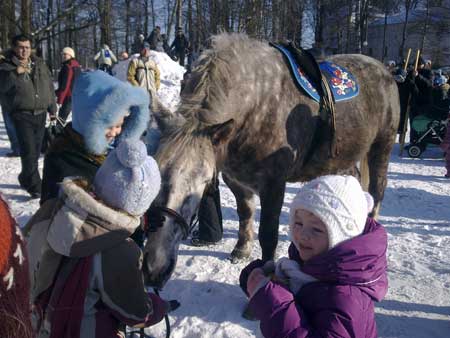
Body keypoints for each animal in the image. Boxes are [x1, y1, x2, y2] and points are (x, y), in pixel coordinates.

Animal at [142, 33, 400, 288]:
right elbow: (245, 213)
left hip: (381, 147)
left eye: (203, 182)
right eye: (157, 171)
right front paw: (242, 249)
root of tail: (383, 70)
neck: (254, 107)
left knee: (377, 190)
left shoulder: (274, 184)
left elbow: (268, 234)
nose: (154, 269)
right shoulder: (236, 180)